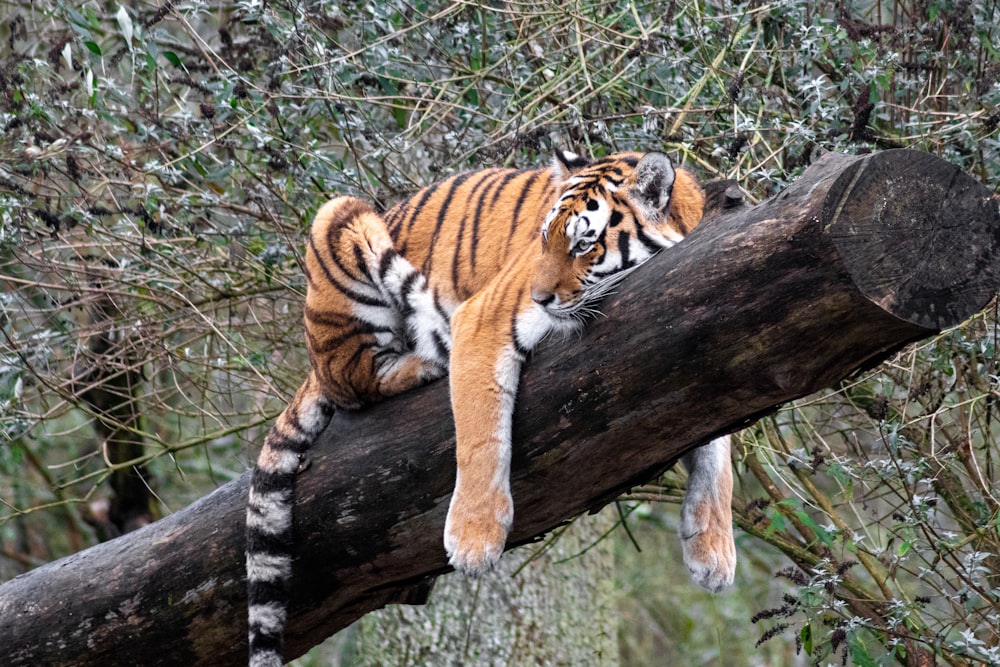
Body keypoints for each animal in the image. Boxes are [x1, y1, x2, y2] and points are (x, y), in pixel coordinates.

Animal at [246, 150, 740, 667]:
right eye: (544, 238)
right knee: (355, 380)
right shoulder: (482, 320)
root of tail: (311, 361)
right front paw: (474, 540)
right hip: (340, 218)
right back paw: (425, 362)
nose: (539, 298)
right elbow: (481, 437)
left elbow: (718, 450)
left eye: (584, 244)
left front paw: (713, 551)